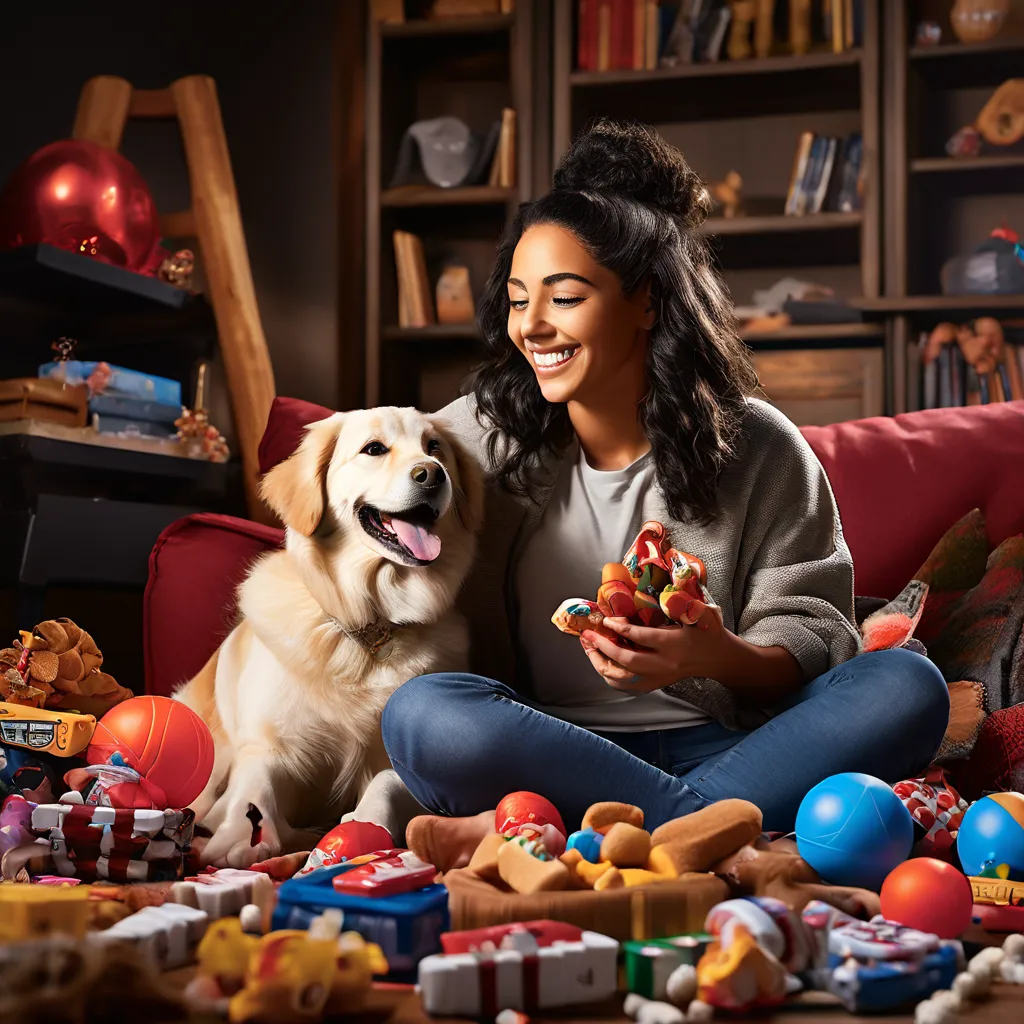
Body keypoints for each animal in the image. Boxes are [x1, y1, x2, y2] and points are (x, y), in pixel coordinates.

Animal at [174, 407, 481, 864]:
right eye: (374, 449)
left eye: (434, 447)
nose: (432, 474)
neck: (368, 623)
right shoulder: (271, 743)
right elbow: (255, 782)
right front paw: (236, 835)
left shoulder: (399, 762)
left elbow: (386, 781)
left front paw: (363, 824)